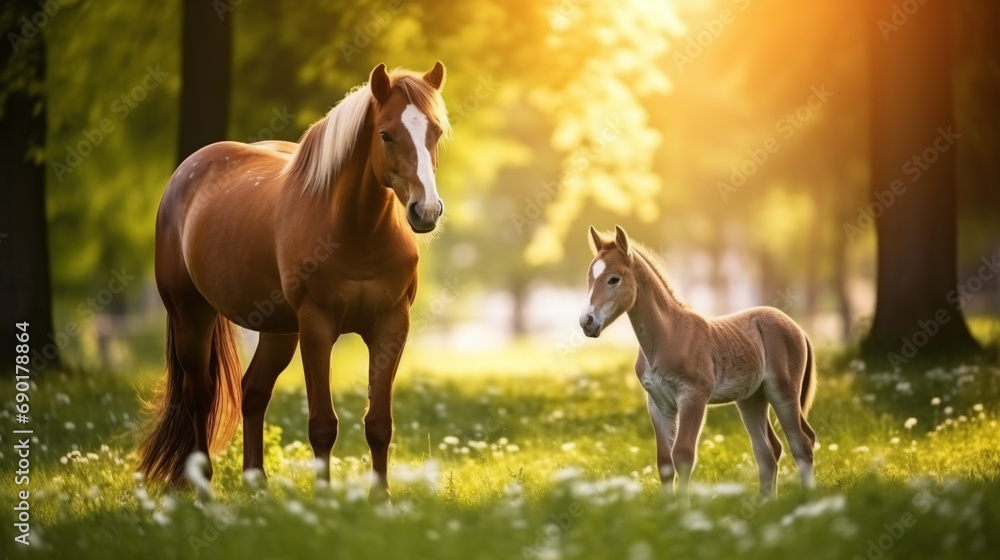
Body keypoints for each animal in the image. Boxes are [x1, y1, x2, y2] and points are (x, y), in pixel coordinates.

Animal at [138, 62, 452, 498]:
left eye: (435, 132)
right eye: (386, 134)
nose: (426, 210)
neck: (357, 230)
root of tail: (185, 172)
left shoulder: (391, 325)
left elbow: (378, 424)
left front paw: (380, 499)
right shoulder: (316, 327)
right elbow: (322, 425)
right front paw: (324, 500)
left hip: (278, 331)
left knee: (253, 392)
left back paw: (256, 483)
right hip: (192, 316)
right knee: (199, 395)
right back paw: (203, 489)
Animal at [578, 226, 817, 501]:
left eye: (614, 279)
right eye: (589, 277)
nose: (586, 322)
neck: (667, 336)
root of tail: (797, 327)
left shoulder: (693, 396)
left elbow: (682, 455)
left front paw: (684, 508)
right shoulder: (658, 404)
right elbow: (664, 462)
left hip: (783, 392)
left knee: (801, 443)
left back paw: (807, 501)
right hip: (752, 399)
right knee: (768, 451)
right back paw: (767, 504)